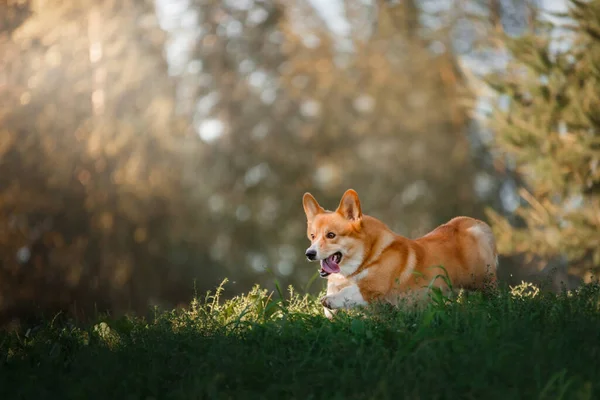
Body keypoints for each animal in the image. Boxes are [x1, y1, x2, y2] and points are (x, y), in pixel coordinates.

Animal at [302, 189, 500, 318]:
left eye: (331, 235)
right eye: (312, 236)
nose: (309, 254)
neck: (365, 257)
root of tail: (474, 223)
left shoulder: (375, 287)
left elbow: (350, 290)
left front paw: (330, 301)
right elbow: (334, 291)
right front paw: (330, 310)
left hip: (481, 280)